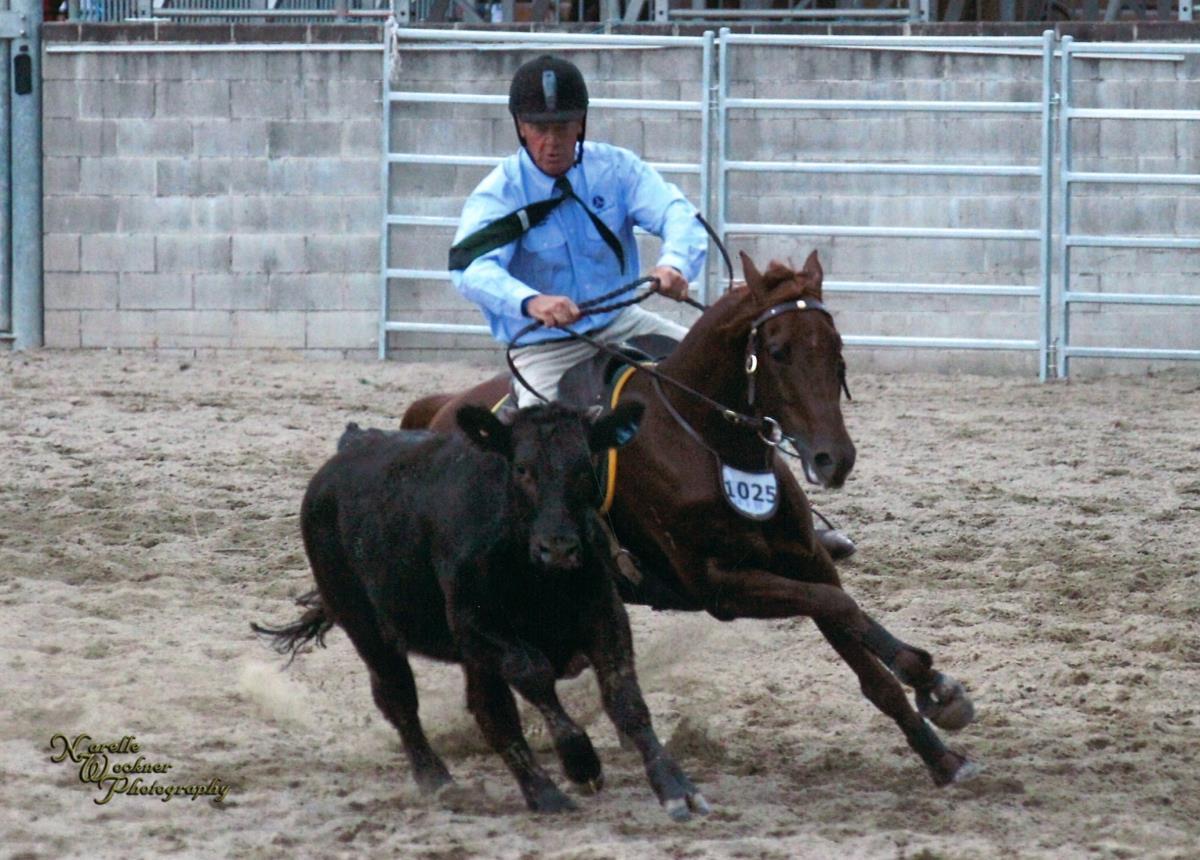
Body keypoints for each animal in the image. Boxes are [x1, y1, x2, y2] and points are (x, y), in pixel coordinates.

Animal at [253, 401, 710, 821]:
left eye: (584, 468)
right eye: (522, 469)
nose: (558, 547)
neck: (534, 573)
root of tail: (353, 444)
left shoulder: (605, 615)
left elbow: (624, 698)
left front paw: (677, 788)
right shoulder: (476, 626)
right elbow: (534, 676)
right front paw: (581, 761)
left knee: (487, 711)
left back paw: (540, 793)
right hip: (367, 627)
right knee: (401, 700)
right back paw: (443, 781)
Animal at [400, 250, 979, 787]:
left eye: (835, 348)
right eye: (776, 352)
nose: (832, 458)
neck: (706, 443)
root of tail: (441, 411)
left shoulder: (807, 559)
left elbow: (857, 640)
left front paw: (939, 741)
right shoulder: (718, 587)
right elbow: (839, 606)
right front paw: (925, 678)